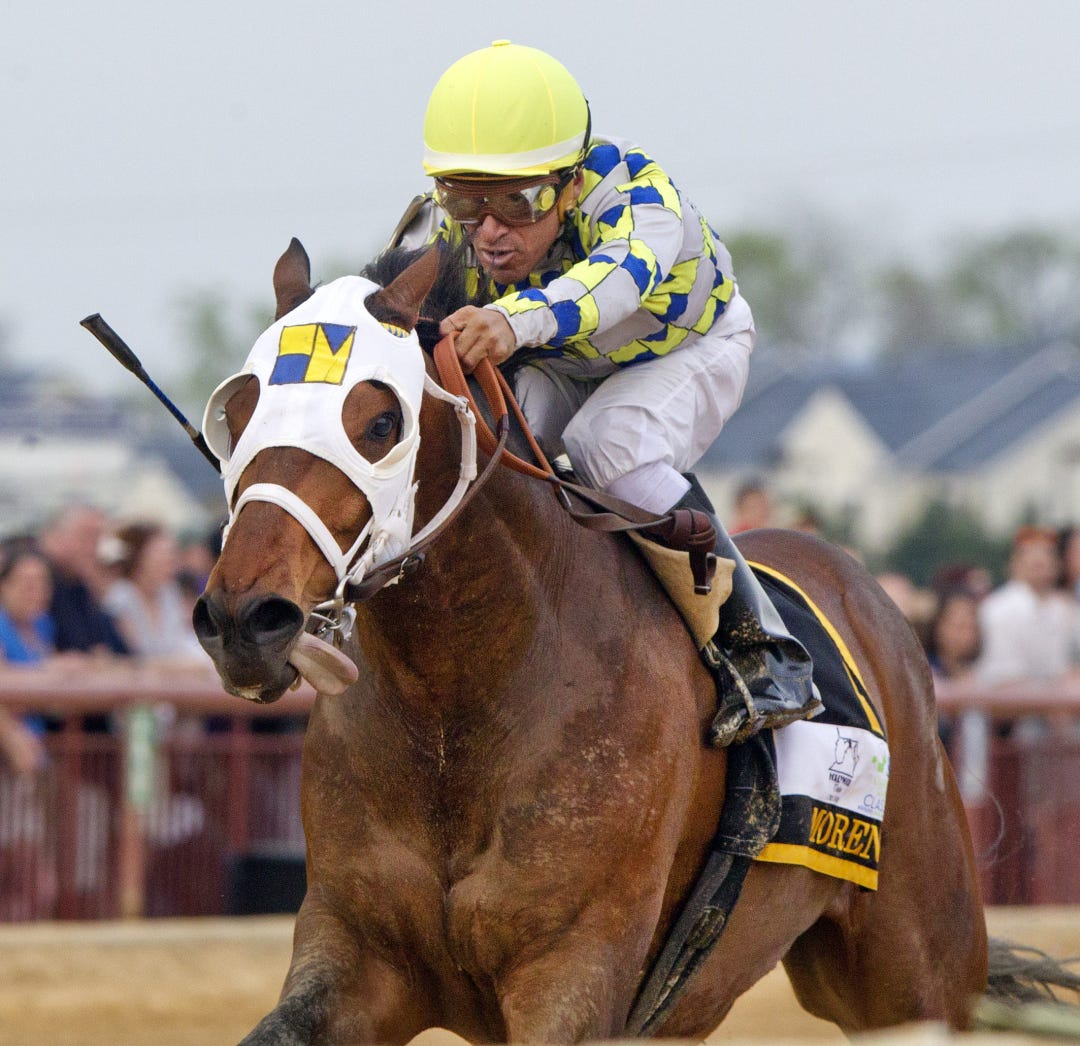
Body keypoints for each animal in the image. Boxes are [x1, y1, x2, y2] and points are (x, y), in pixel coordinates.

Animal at [193, 238, 1001, 1044]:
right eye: (237, 412)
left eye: (381, 423)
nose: (245, 618)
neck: (457, 707)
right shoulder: (355, 954)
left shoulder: (575, 966)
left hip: (916, 971)